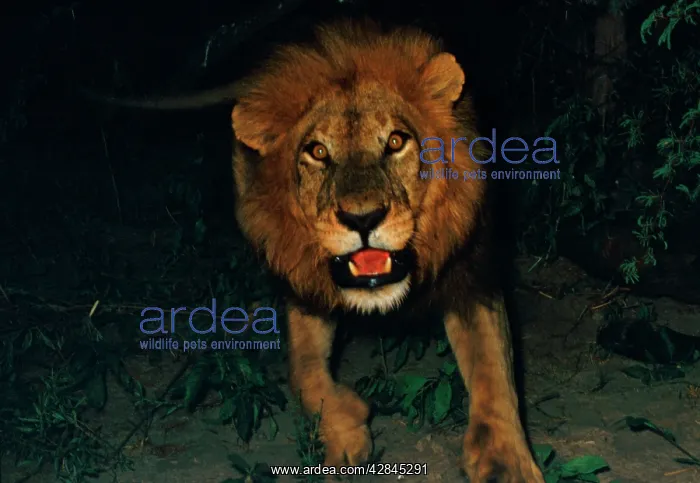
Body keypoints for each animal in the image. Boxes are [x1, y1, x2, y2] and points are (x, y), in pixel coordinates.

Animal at [88, 18, 544, 483]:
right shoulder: (303, 285)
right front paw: (347, 428)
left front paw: (506, 463)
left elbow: (493, 371)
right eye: (318, 151)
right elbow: (304, 373)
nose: (364, 219)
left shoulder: (473, 273)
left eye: (396, 141)